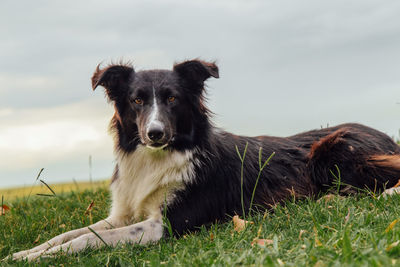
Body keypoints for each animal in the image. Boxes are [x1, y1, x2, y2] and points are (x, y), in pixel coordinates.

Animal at [8, 59, 400, 262]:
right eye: (137, 100)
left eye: (172, 98)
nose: (155, 133)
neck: (159, 157)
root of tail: (383, 133)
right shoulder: (123, 213)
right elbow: (72, 233)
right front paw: (26, 252)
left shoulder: (165, 225)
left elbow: (91, 240)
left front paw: (37, 256)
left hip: (332, 151)